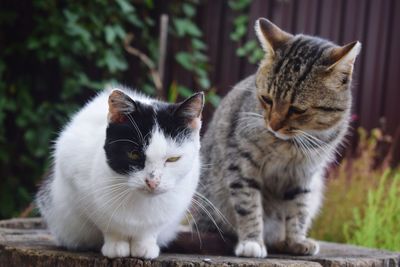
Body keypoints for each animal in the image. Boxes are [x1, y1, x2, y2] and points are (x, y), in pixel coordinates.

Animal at [36, 88, 203, 260]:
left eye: (173, 159)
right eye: (134, 154)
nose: (153, 182)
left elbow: (151, 229)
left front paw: (144, 246)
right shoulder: (78, 183)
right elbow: (108, 224)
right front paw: (116, 245)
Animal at [195, 17, 360, 258]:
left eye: (297, 110)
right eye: (267, 99)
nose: (272, 125)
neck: (290, 145)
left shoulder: (304, 175)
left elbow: (298, 210)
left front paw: (296, 241)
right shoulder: (241, 163)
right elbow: (248, 204)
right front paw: (252, 241)